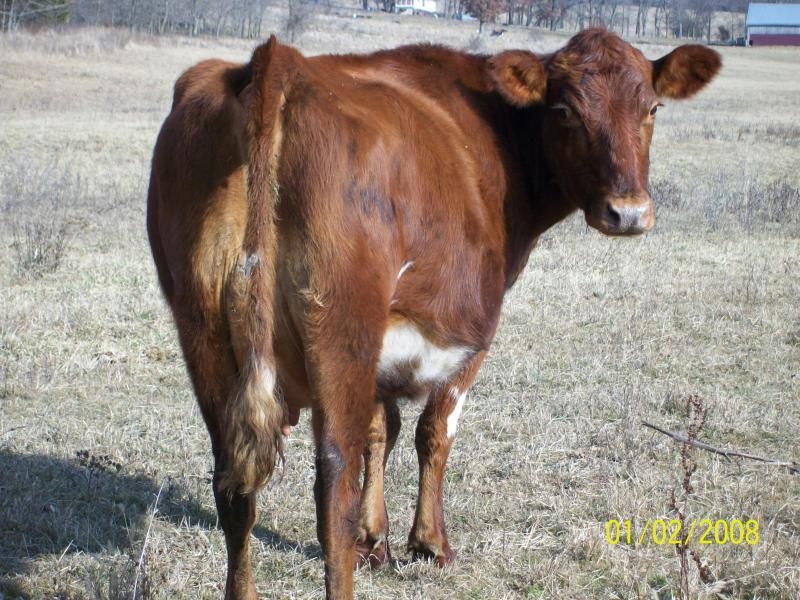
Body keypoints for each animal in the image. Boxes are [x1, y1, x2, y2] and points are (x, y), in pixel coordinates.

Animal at [147, 28, 720, 599]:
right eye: (565, 110)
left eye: (652, 108)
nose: (628, 212)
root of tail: (278, 62)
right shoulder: (471, 337)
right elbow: (434, 431)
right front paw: (428, 544)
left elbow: (382, 430)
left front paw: (373, 540)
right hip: (339, 329)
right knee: (333, 484)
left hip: (204, 333)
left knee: (234, 490)